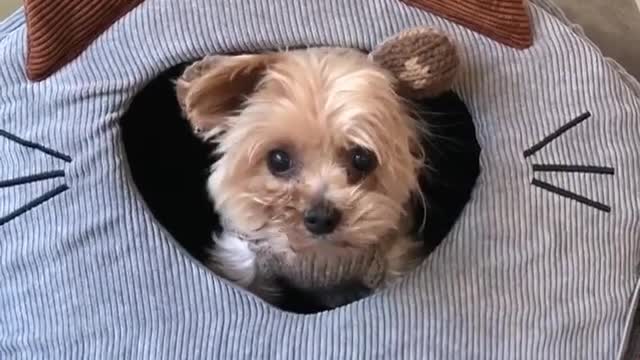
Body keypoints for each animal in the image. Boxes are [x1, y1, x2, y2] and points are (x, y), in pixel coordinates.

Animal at [176, 47, 424, 306]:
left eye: (363, 158)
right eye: (278, 159)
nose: (321, 218)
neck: (317, 257)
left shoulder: (391, 261)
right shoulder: (244, 261)